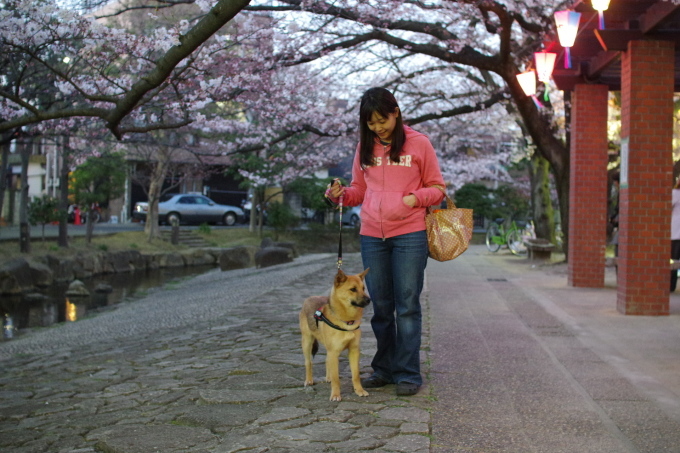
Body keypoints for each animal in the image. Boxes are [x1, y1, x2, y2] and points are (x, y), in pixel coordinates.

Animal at [298, 266, 370, 400]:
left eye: (363, 288)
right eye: (353, 289)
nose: (369, 300)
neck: (347, 320)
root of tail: (310, 297)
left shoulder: (354, 351)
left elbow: (356, 375)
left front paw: (359, 390)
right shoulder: (334, 351)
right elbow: (336, 378)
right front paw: (336, 395)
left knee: (327, 360)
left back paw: (328, 377)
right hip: (307, 342)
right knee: (308, 362)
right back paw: (309, 380)